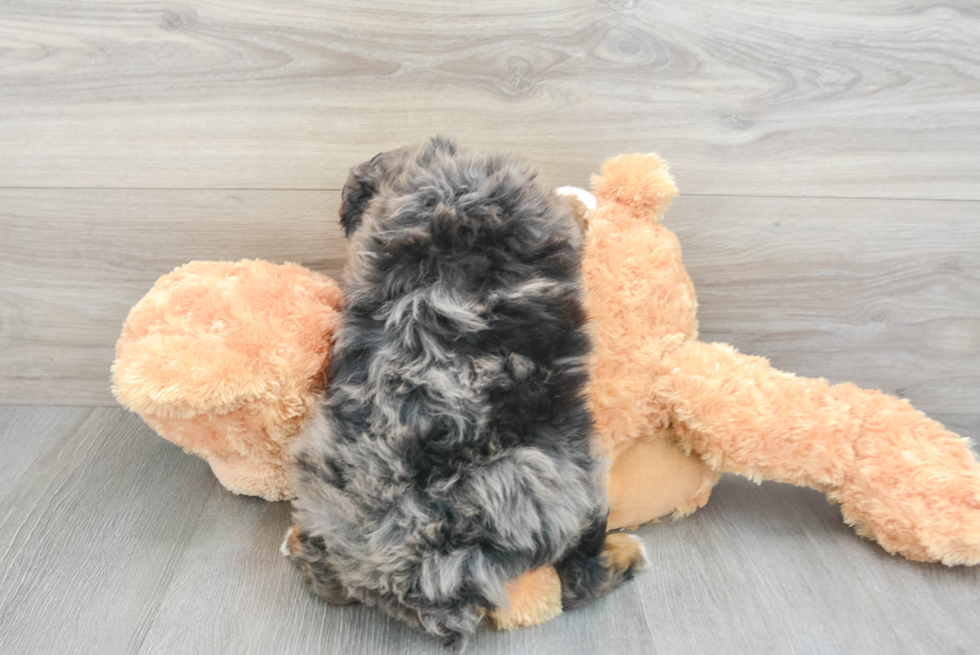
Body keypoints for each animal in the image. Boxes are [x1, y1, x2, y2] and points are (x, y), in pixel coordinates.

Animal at [284, 138, 644, 652]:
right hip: (572, 484)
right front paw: (580, 205)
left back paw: (302, 547)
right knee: (578, 575)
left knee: (327, 572)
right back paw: (624, 554)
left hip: (318, 476)